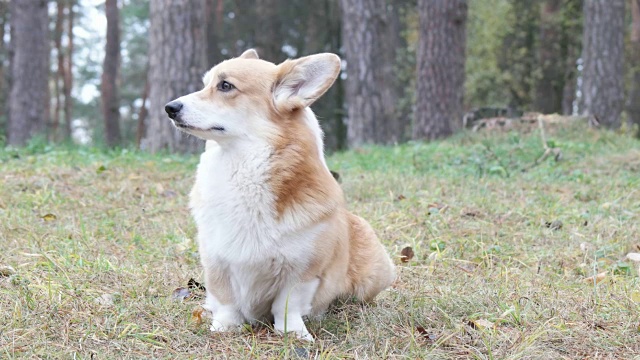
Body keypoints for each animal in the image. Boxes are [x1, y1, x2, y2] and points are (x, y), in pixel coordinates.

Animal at [164, 50, 396, 340]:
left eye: (225, 86)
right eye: (206, 84)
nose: (169, 107)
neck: (243, 170)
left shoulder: (303, 270)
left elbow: (287, 304)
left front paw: (294, 333)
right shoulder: (216, 259)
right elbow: (226, 299)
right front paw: (224, 327)